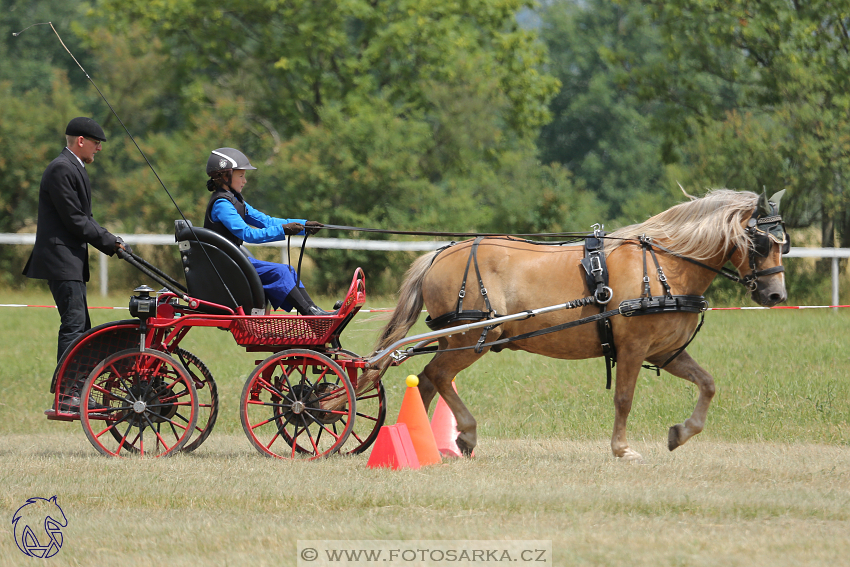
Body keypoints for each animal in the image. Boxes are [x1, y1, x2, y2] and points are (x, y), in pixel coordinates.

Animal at [364, 191, 788, 462]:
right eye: (762, 242)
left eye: (784, 241)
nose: (777, 295)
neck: (666, 266)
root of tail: (440, 254)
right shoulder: (633, 348)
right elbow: (624, 399)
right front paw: (622, 449)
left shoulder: (666, 351)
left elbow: (707, 384)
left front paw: (681, 433)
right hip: (473, 337)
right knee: (436, 376)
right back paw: (464, 433)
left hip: (457, 340)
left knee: (427, 380)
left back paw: (422, 442)